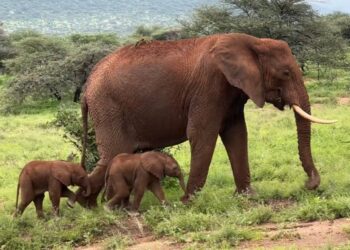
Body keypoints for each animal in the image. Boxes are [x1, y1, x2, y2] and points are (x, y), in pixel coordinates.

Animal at [13, 150, 186, 217]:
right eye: (175, 168)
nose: (183, 200)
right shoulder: (143, 172)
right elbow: (141, 188)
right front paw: (135, 214)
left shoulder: (151, 172)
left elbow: (157, 188)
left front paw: (168, 208)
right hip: (117, 174)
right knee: (28, 197)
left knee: (37, 198)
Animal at [76, 33, 334, 208]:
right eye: (286, 73)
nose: (309, 185)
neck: (253, 41)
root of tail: (87, 88)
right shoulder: (209, 86)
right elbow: (202, 134)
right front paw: (189, 202)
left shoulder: (231, 91)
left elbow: (237, 134)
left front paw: (248, 197)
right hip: (108, 108)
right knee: (112, 154)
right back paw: (89, 206)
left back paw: (93, 206)